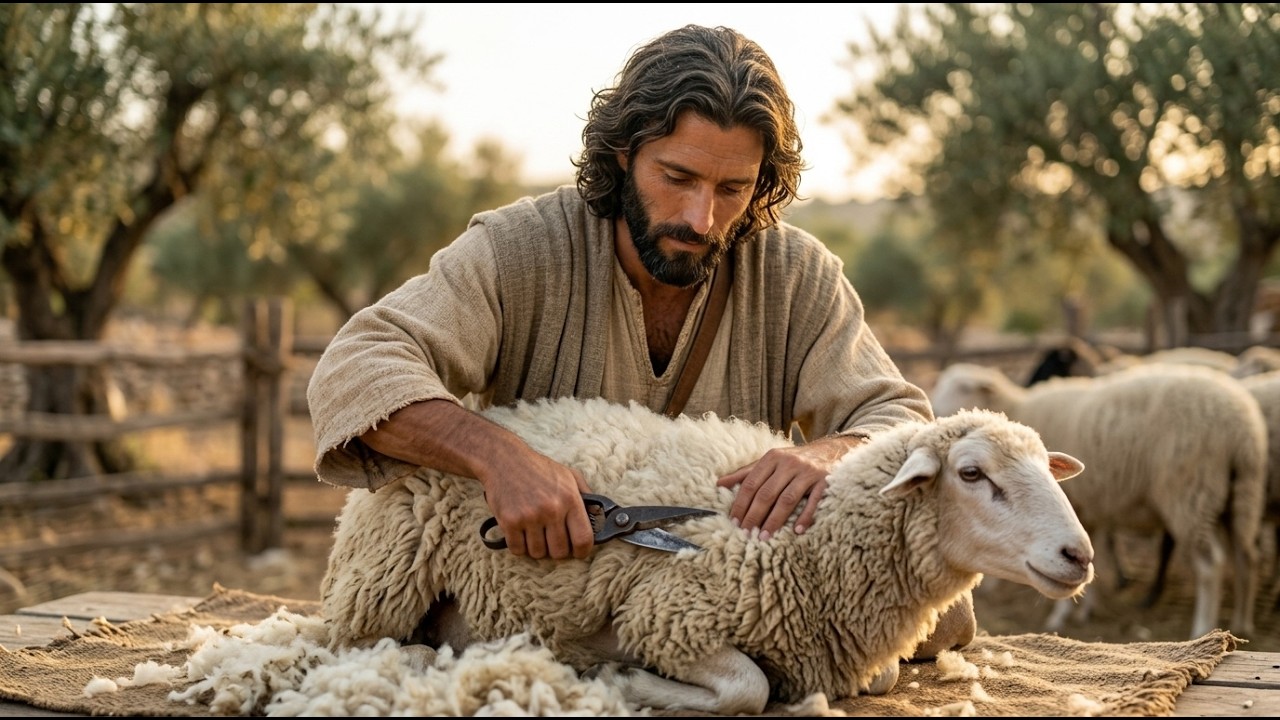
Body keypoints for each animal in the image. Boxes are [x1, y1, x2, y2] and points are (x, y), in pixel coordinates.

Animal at [319, 396, 1094, 715]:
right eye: (972, 474)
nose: (1077, 555)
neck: (813, 540)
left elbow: (878, 680)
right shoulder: (668, 614)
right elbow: (746, 689)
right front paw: (624, 682)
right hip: (382, 584)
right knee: (356, 648)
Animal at [928, 361, 1267, 640]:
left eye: (964, 386)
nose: (934, 407)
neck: (1017, 405)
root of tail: (1241, 429)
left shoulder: (1076, 505)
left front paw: (1061, 615)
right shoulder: (1089, 508)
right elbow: (1094, 555)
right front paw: (1084, 609)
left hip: (1191, 493)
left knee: (1211, 565)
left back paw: (1203, 628)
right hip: (1240, 494)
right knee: (1246, 556)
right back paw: (1243, 622)